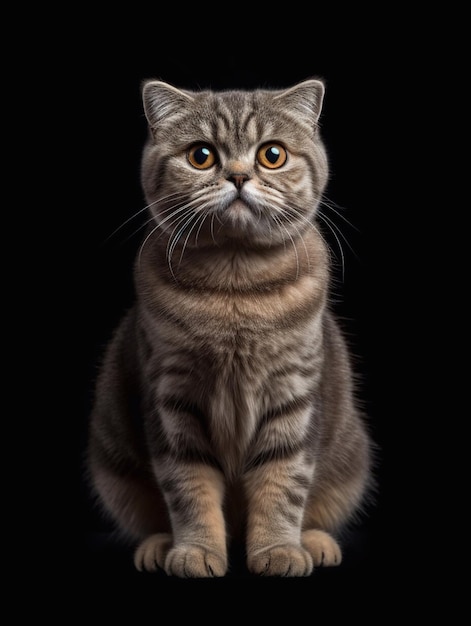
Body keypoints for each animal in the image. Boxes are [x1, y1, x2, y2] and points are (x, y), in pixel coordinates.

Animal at [86, 77, 378, 576]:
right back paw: (157, 547)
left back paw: (314, 543)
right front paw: (197, 550)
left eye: (272, 154)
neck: (235, 290)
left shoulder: (294, 394)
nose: (239, 176)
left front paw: (279, 549)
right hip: (115, 469)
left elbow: (284, 482)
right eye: (201, 155)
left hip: (349, 457)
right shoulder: (172, 397)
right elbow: (188, 487)